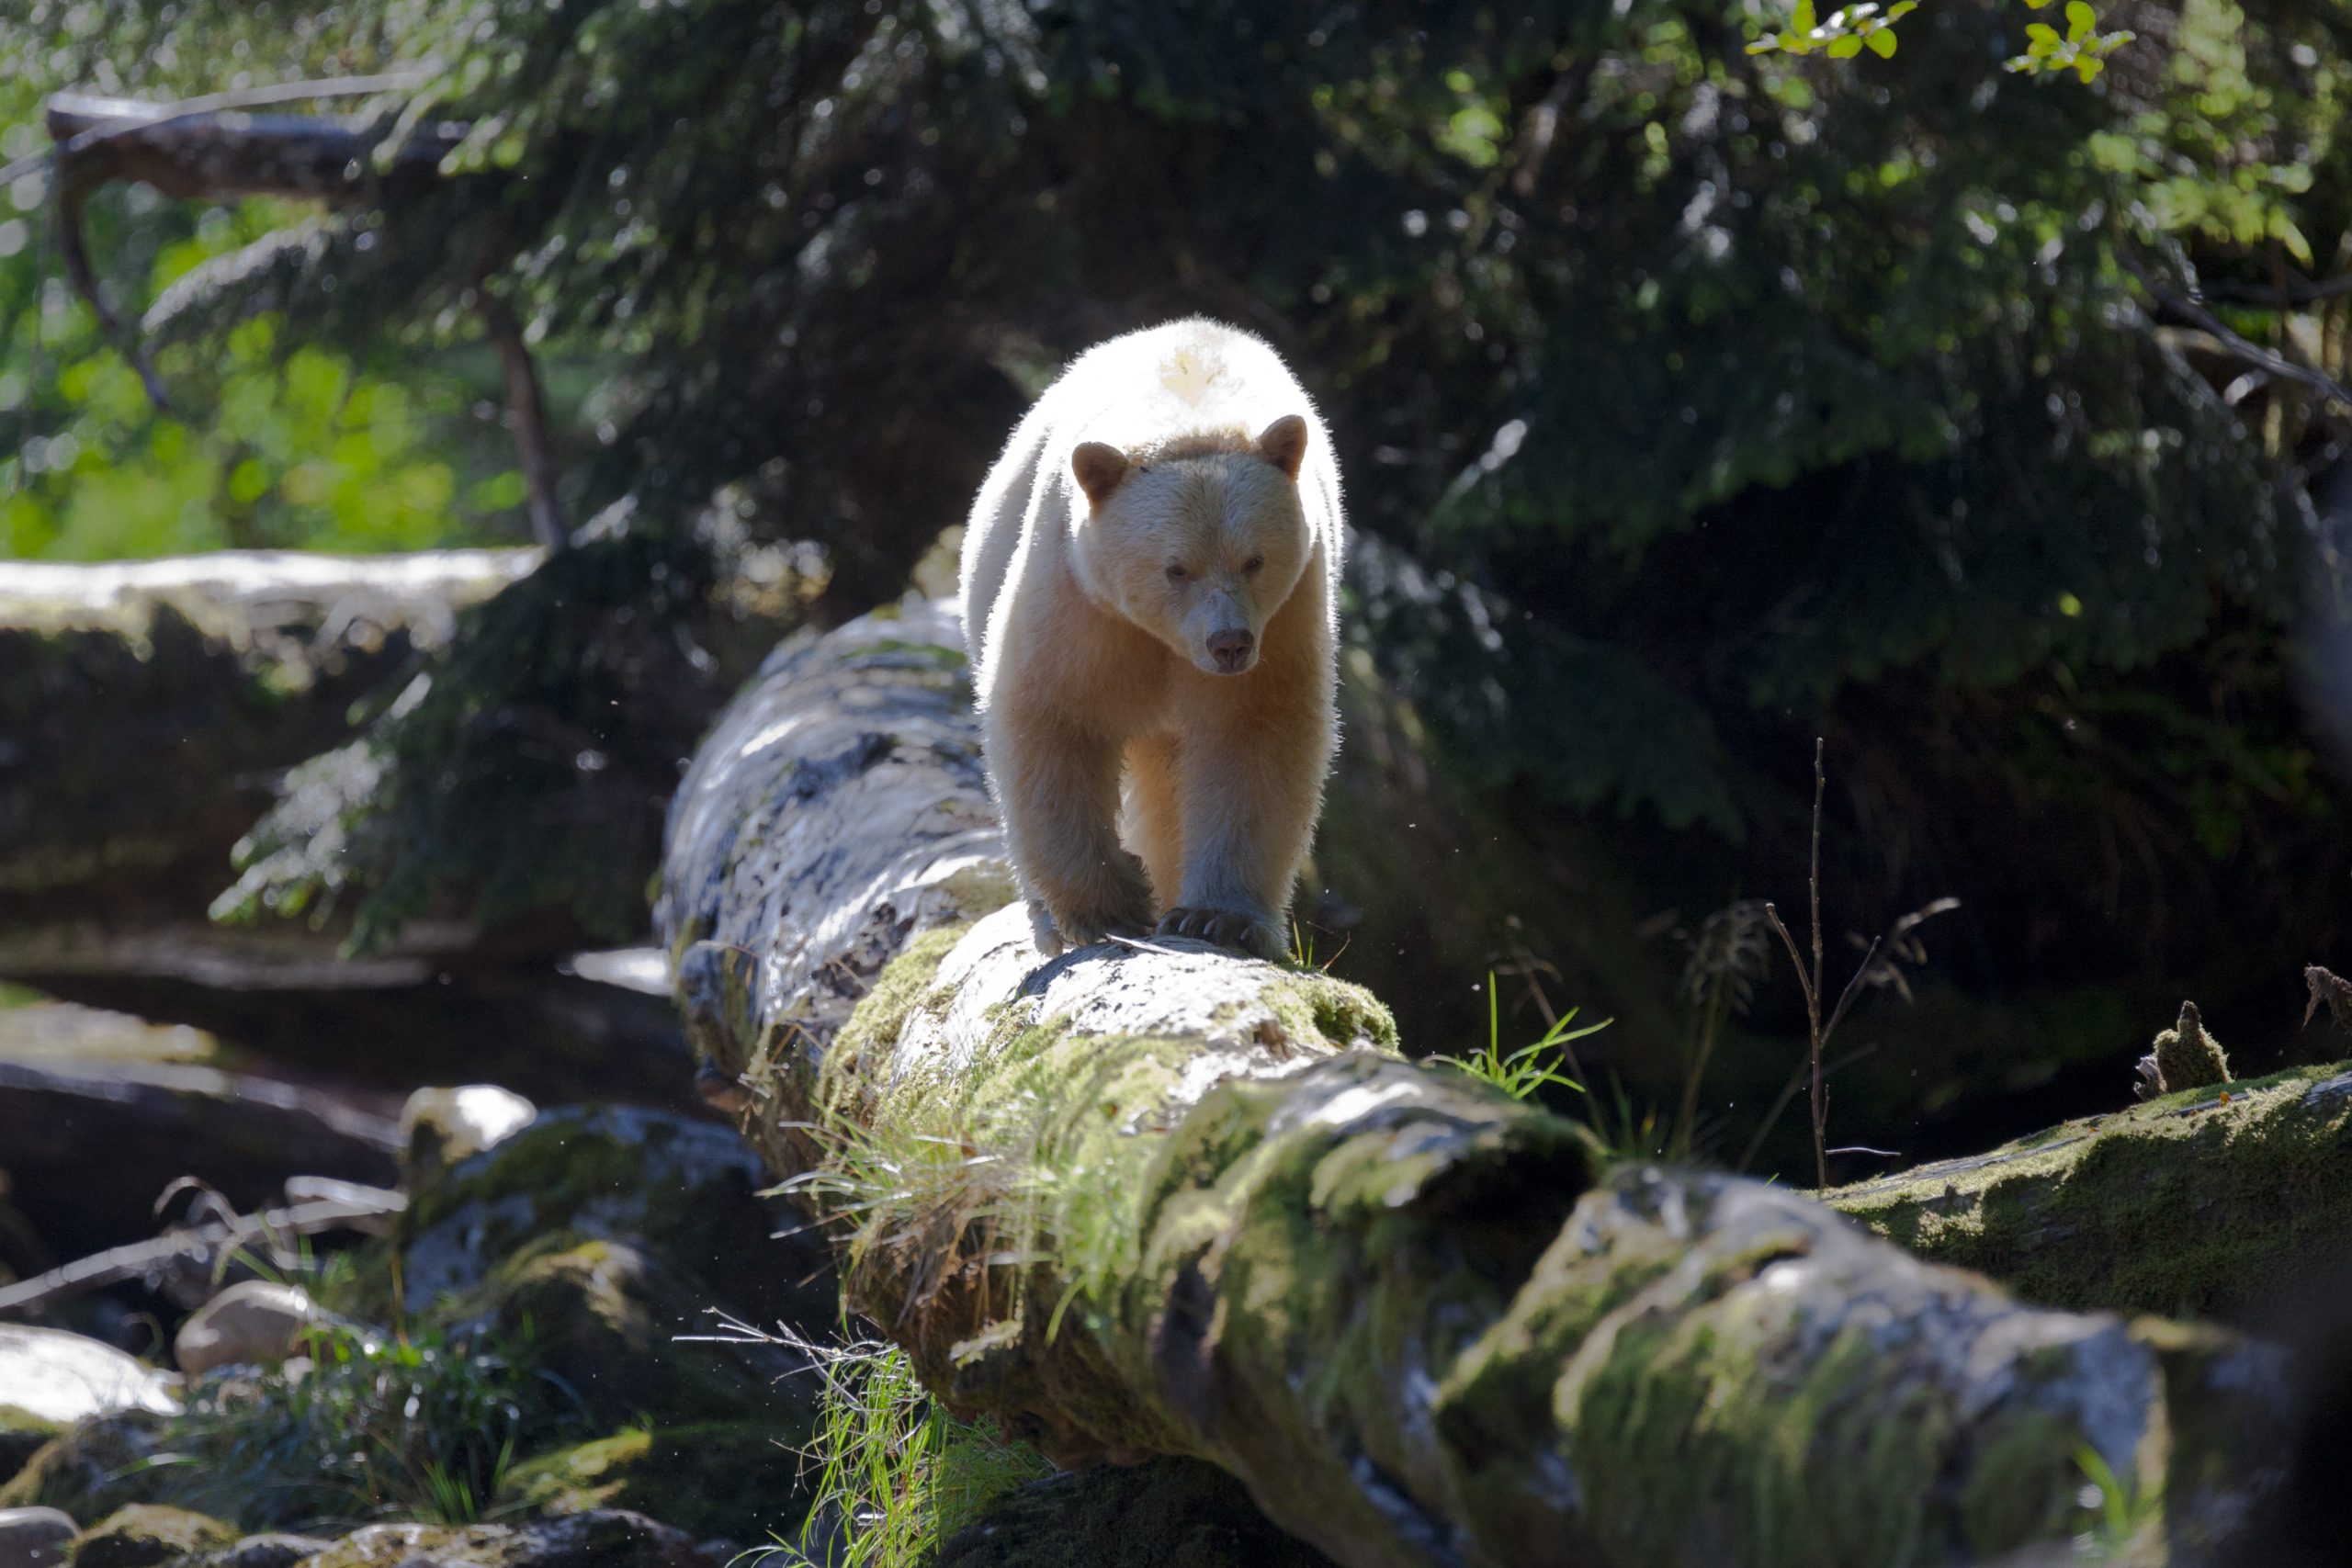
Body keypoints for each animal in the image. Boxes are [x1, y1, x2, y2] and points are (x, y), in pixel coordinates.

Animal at [959, 314, 1345, 964]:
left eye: (1255, 560)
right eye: (1175, 569)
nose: (1229, 644)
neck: (1188, 399)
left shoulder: (1288, 613)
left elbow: (1254, 734)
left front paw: (1218, 919)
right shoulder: (1079, 594)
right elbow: (1052, 716)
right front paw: (1107, 907)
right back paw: (1049, 922)